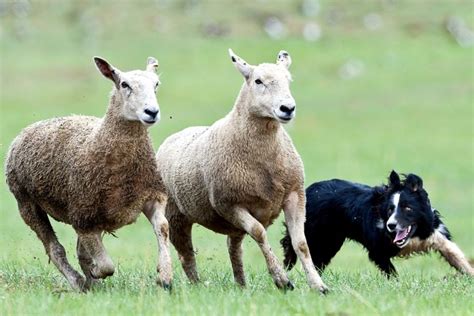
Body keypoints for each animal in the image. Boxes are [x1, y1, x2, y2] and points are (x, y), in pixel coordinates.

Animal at [5, 56, 172, 292]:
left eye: (156, 84)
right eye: (124, 84)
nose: (152, 112)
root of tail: (24, 132)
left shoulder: (152, 196)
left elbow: (163, 228)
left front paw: (165, 276)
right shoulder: (84, 218)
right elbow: (106, 265)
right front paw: (94, 273)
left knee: (78, 250)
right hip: (28, 204)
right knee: (55, 249)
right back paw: (78, 281)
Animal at [157, 48, 328, 294]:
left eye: (288, 80)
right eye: (258, 81)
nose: (287, 108)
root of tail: (173, 136)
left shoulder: (295, 195)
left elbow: (301, 244)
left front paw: (318, 285)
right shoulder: (230, 204)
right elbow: (259, 233)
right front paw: (282, 280)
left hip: (230, 225)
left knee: (233, 247)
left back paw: (241, 284)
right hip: (176, 215)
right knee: (186, 254)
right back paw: (196, 285)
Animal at [280, 170, 472, 276]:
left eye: (407, 208)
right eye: (390, 209)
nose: (391, 225)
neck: (415, 235)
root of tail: (309, 190)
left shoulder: (435, 233)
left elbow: (454, 253)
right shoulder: (377, 249)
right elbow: (390, 270)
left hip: (331, 241)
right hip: (319, 236)